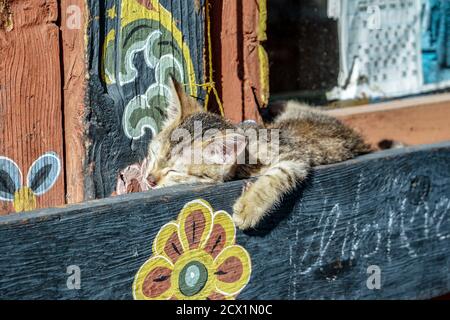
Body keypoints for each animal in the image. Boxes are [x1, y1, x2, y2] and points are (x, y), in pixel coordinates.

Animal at [144, 80, 370, 230]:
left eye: (174, 171)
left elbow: (277, 176)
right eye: (154, 154)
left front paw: (248, 207)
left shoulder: (294, 156)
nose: (149, 179)